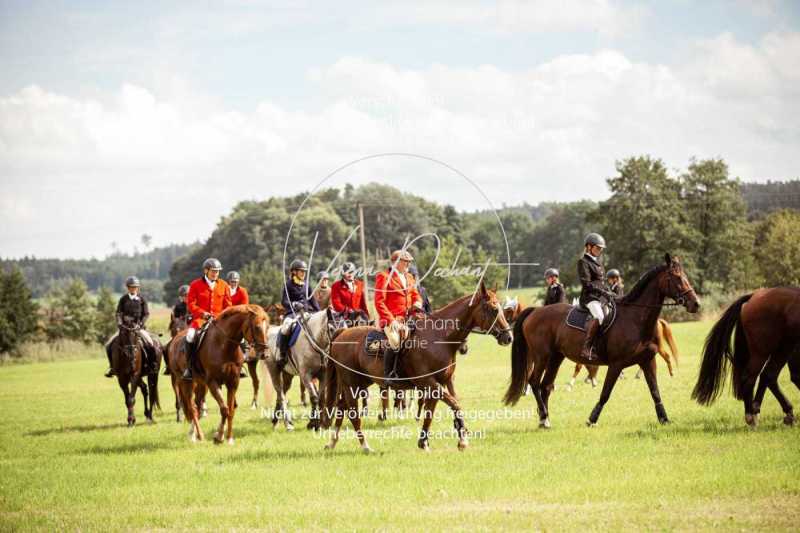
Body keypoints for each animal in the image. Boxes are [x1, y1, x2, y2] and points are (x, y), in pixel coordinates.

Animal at [169, 304, 268, 440]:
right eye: (257, 327)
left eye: (268, 326)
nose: (265, 354)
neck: (224, 345)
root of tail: (175, 340)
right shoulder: (213, 382)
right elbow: (224, 409)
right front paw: (219, 436)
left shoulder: (233, 382)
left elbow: (231, 410)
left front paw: (229, 437)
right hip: (185, 382)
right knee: (192, 407)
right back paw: (198, 435)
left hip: (201, 383)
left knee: (197, 405)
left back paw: (193, 432)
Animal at [320, 280, 512, 450]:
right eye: (494, 309)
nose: (508, 337)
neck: (439, 337)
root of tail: (342, 333)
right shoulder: (430, 383)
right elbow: (454, 405)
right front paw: (462, 440)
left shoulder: (443, 382)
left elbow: (433, 412)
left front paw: (425, 442)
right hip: (352, 384)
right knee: (352, 414)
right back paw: (365, 446)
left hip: (360, 383)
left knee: (341, 408)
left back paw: (332, 443)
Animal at [506, 254, 700, 428]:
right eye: (676, 278)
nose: (696, 304)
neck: (636, 319)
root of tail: (535, 311)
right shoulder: (616, 364)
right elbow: (605, 393)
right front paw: (592, 419)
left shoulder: (647, 361)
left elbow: (655, 392)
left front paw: (664, 419)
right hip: (542, 356)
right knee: (534, 382)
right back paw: (544, 417)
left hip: (556, 357)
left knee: (545, 385)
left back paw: (544, 420)